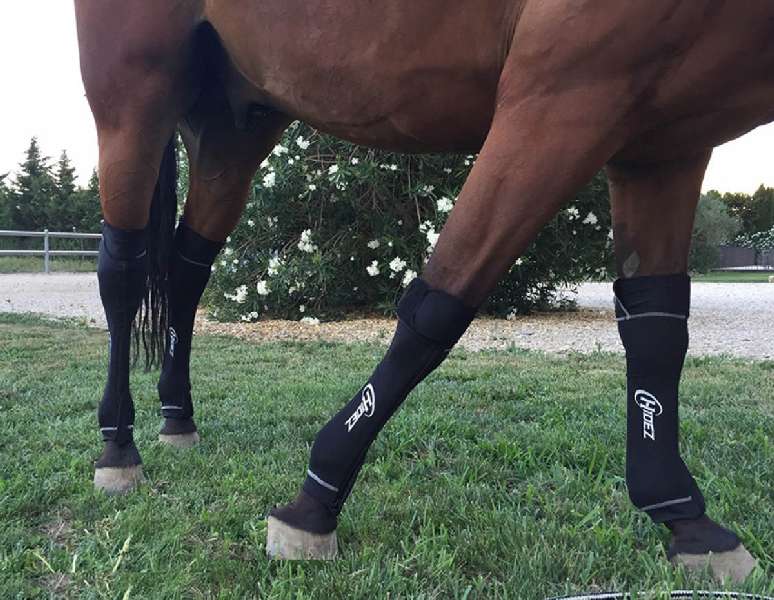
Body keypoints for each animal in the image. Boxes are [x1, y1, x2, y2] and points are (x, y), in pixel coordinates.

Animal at [74, 0, 772, 581]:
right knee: (123, 269)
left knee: (187, 267)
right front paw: (313, 499)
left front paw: (685, 517)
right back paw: (117, 446)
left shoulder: (666, 140)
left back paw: (176, 416)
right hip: (133, 95)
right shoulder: (563, 98)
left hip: (233, 129)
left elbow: (656, 327)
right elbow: (438, 307)